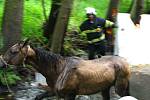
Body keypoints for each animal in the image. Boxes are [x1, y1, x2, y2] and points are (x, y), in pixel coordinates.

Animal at [2, 40, 131, 100]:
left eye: (13, 51)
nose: (1, 62)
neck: (58, 71)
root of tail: (126, 61)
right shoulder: (55, 92)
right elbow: (38, 97)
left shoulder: (70, 94)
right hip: (105, 88)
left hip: (120, 88)